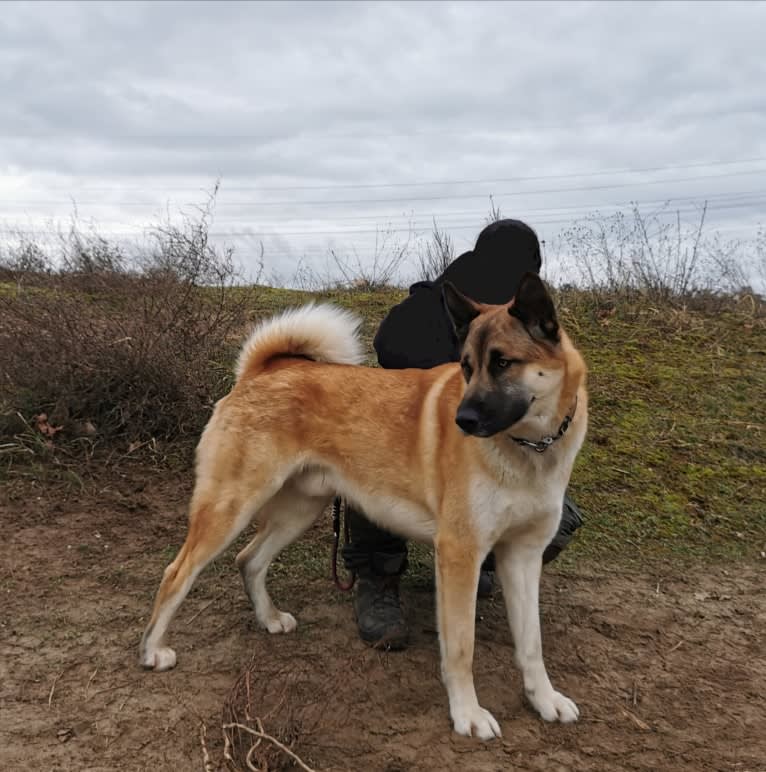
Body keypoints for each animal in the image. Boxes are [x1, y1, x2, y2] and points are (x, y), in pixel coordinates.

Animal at [141, 274, 592, 740]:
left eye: (503, 363)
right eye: (467, 366)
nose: (461, 421)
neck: (530, 449)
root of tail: (265, 370)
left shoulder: (523, 557)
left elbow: (532, 644)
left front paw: (544, 699)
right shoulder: (459, 554)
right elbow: (461, 649)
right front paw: (467, 713)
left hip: (300, 510)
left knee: (249, 559)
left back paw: (268, 618)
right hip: (230, 509)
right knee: (177, 573)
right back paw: (154, 649)